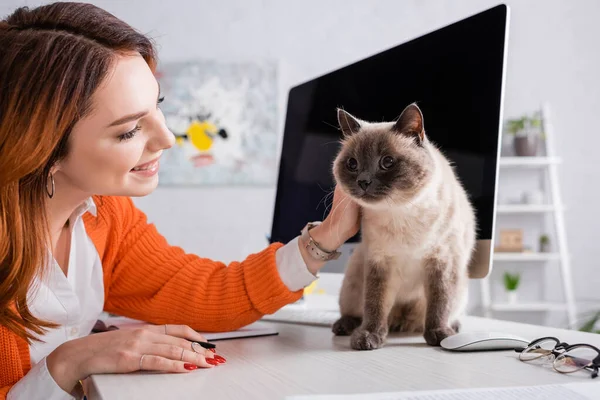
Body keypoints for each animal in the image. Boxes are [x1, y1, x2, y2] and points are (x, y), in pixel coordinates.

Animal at [330, 103, 476, 350]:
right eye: (352, 164)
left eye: (387, 162)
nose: (363, 181)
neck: (401, 211)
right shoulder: (380, 262)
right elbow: (375, 304)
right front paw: (369, 337)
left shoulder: (441, 261)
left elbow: (439, 303)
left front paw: (439, 335)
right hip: (354, 273)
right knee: (355, 311)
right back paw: (345, 327)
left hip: (460, 287)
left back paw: (452, 328)